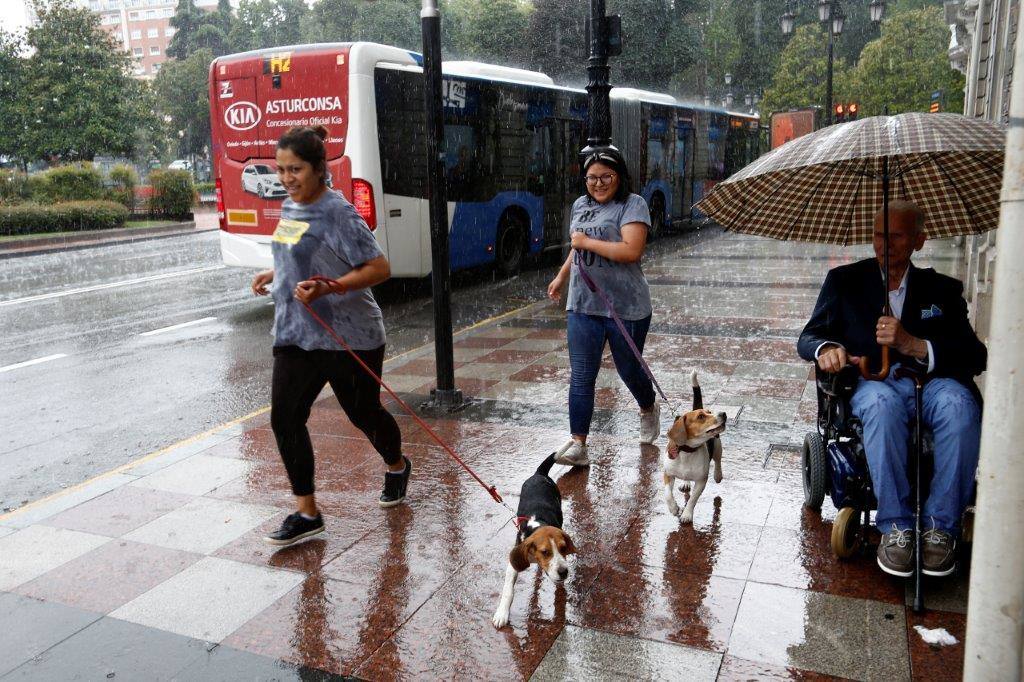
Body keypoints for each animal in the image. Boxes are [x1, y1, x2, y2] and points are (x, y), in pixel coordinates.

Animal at [489, 450, 577, 626]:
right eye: (545, 552)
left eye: (563, 548)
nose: (564, 572)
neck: (538, 524)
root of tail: (539, 474)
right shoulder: (514, 563)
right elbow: (508, 590)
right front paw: (502, 613)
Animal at [663, 372, 729, 520]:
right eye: (700, 416)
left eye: (709, 412)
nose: (724, 414)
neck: (687, 452)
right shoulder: (668, 474)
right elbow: (668, 494)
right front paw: (674, 508)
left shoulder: (701, 480)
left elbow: (693, 499)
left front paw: (687, 514)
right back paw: (685, 483)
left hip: (717, 447)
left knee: (718, 461)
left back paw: (718, 475)